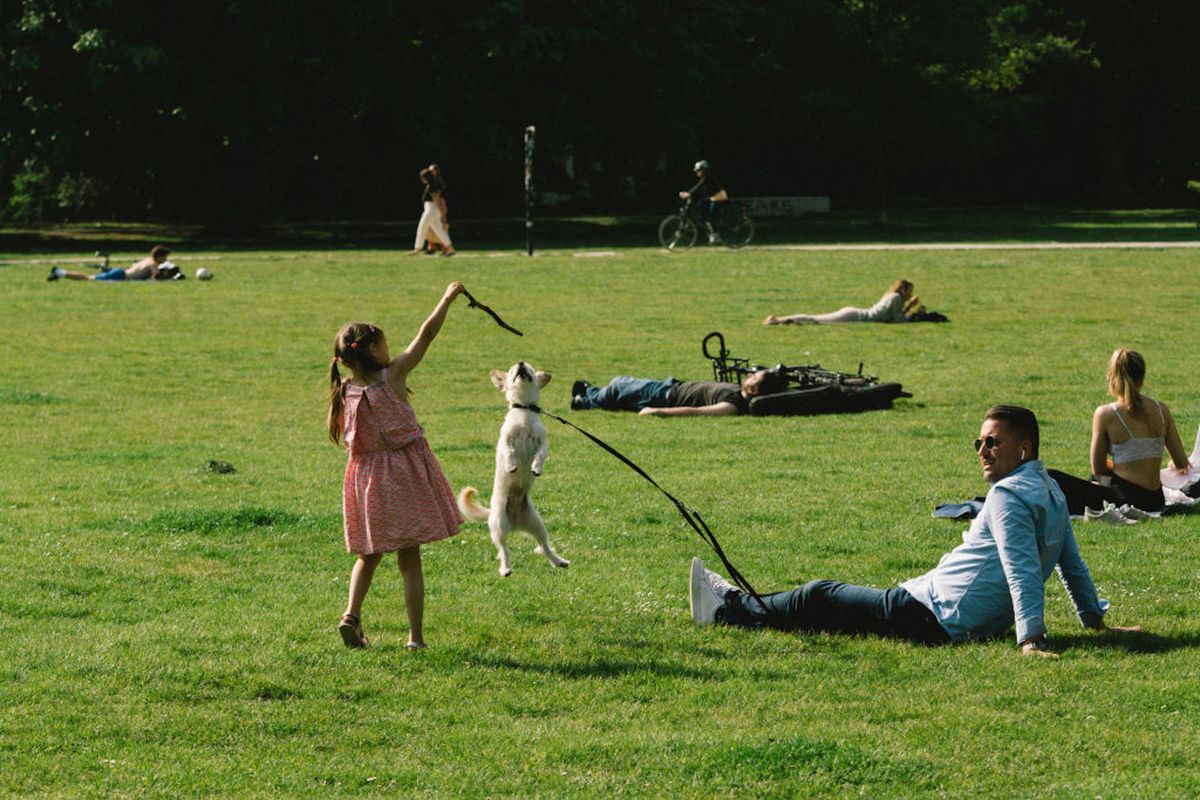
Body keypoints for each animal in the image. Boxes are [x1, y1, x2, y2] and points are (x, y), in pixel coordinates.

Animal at [458, 362, 571, 575]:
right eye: (512, 371)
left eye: (531, 369)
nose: (521, 363)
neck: (524, 411)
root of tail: (515, 522)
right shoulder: (505, 439)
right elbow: (509, 450)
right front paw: (511, 465)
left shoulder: (542, 442)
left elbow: (540, 454)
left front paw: (536, 467)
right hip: (499, 525)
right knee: (504, 549)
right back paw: (505, 569)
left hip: (537, 523)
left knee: (544, 544)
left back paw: (558, 560)